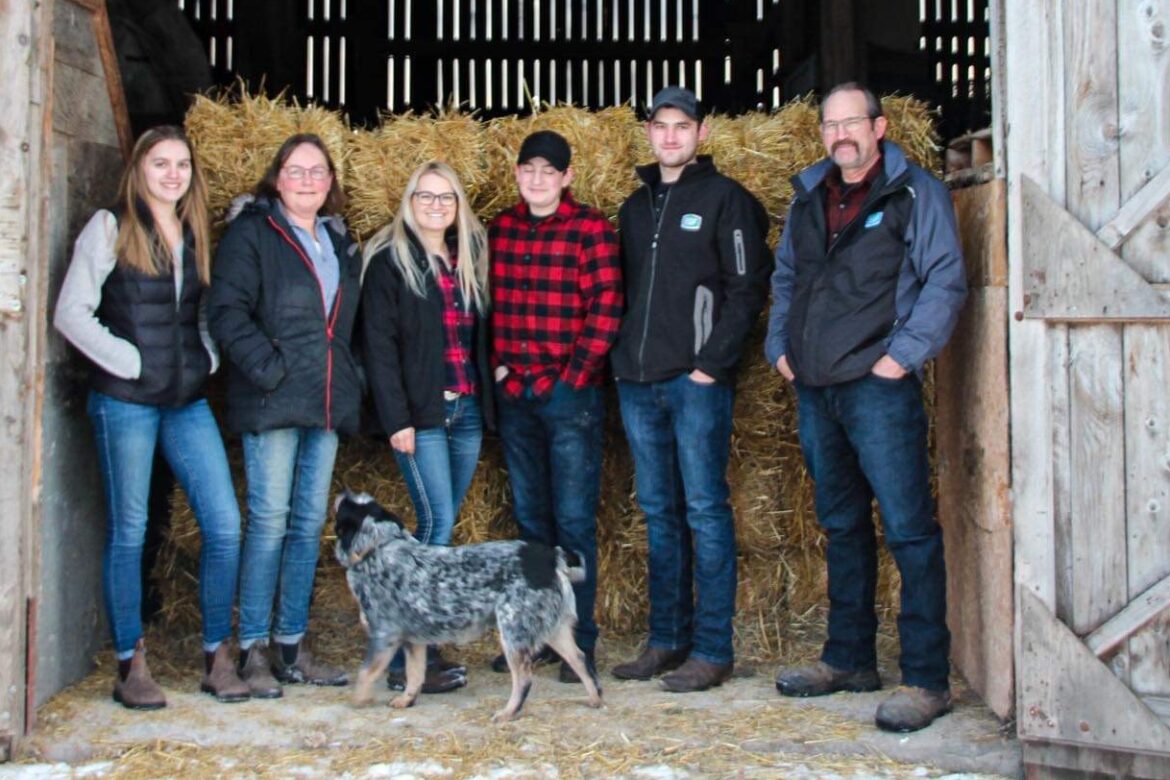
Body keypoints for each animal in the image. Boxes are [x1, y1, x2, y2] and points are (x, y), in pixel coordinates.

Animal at [332, 491, 599, 725]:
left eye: (346, 507)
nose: (342, 492)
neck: (377, 549)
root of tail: (553, 558)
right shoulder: (414, 640)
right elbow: (415, 674)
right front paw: (406, 700)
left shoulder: (385, 635)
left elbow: (366, 673)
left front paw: (359, 700)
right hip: (555, 630)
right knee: (581, 660)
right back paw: (594, 699)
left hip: (514, 632)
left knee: (524, 679)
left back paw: (507, 713)